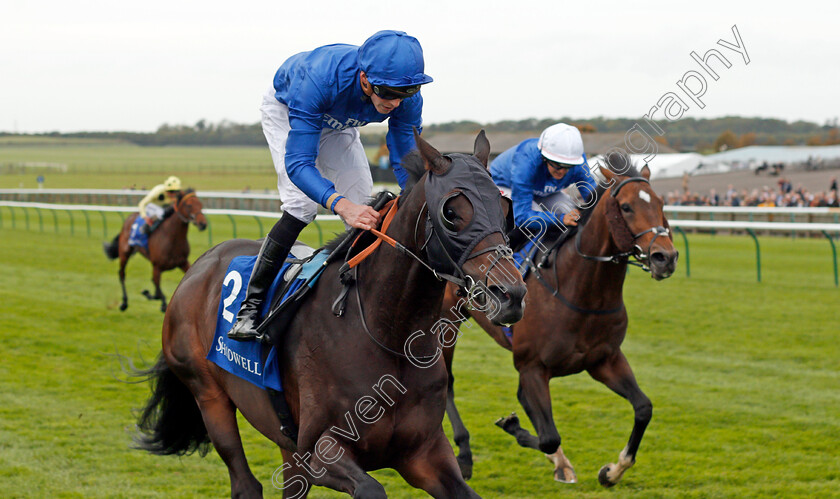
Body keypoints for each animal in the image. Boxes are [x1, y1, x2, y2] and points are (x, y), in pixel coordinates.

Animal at [442, 153, 680, 488]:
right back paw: (464, 455)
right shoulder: (531, 367)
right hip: (444, 323)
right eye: (626, 207)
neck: (582, 293)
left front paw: (612, 470)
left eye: (660, 203)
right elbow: (548, 437)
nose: (665, 258)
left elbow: (643, 407)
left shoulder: (604, 360)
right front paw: (517, 429)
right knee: (447, 383)